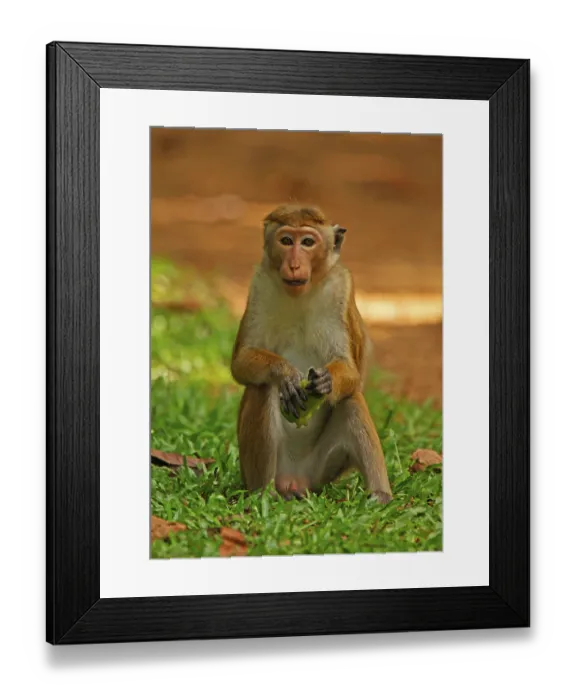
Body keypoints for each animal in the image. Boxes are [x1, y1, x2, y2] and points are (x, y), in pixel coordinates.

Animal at [230, 204, 392, 504]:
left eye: (307, 242)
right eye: (286, 240)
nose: (294, 264)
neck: (301, 294)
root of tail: (294, 480)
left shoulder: (341, 289)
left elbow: (350, 372)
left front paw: (325, 382)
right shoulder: (259, 285)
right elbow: (241, 361)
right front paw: (284, 373)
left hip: (321, 471)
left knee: (351, 400)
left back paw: (380, 495)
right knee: (262, 388)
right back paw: (264, 494)